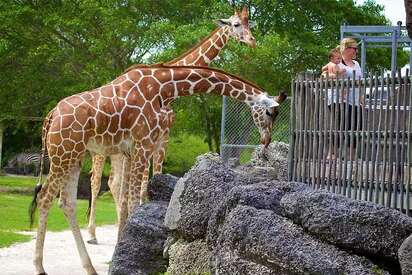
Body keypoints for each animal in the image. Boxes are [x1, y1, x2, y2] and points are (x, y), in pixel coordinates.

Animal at [29, 65, 280, 275]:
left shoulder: (133, 150)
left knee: (66, 202)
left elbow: (130, 200)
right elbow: (134, 202)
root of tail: (50, 116)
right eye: (270, 113)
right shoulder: (143, 144)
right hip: (64, 154)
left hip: (74, 156)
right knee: (44, 198)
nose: (267, 140)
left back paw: (89, 268)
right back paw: (40, 267)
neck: (164, 85)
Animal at [85, 6, 258, 245]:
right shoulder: (156, 139)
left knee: (114, 182)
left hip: (116, 153)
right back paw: (91, 234)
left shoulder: (157, 139)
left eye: (250, 23)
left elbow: (145, 184)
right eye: (235, 24)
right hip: (100, 152)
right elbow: (146, 184)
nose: (252, 41)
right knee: (96, 181)